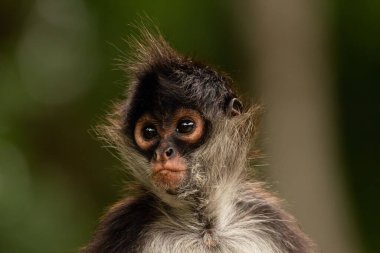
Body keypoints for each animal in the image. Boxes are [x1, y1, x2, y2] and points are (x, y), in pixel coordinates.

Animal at [80, 28, 314, 253]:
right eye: (148, 132)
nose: (162, 153)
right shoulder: (125, 222)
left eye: (185, 126)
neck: (206, 226)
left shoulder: (270, 222)